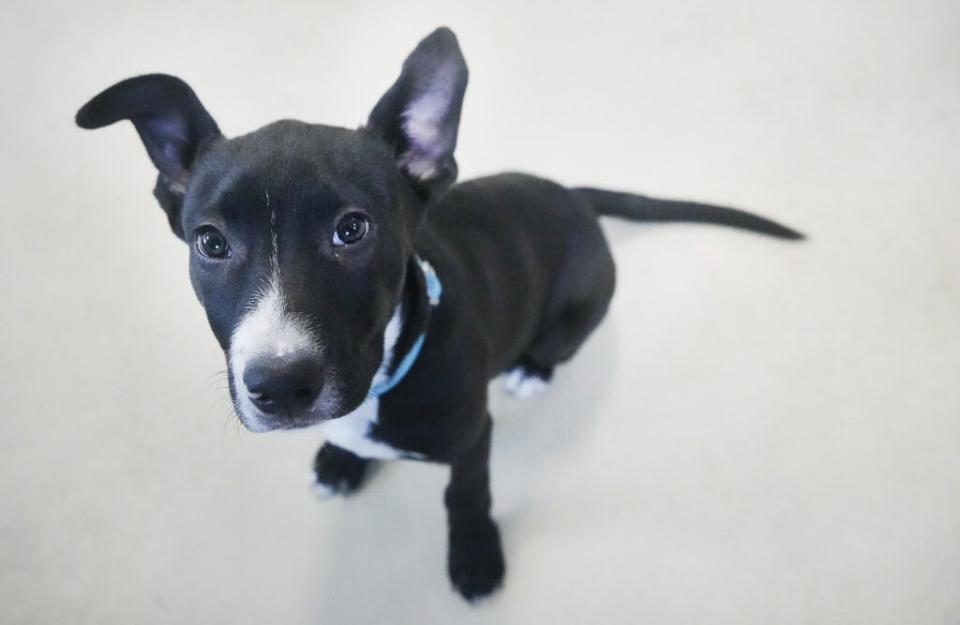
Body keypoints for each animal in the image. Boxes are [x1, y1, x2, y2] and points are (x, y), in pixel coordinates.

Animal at [75, 28, 800, 600]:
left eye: (352, 230)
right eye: (210, 242)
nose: (278, 386)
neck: (387, 371)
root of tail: (576, 197)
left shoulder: (474, 434)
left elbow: (465, 493)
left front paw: (475, 557)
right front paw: (342, 461)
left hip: (578, 314)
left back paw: (532, 371)